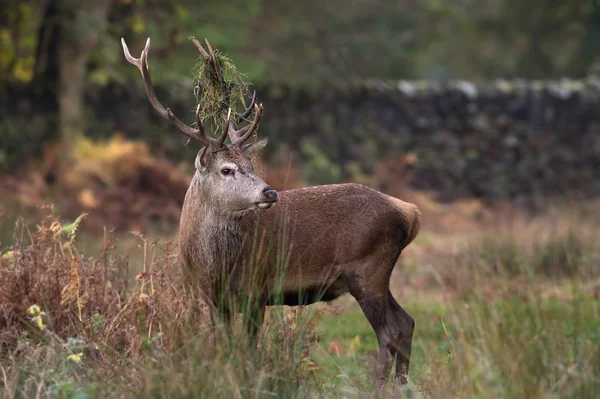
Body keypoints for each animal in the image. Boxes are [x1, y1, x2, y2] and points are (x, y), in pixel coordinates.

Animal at [120, 36, 422, 396]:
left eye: (251, 166)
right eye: (227, 169)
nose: (270, 192)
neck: (213, 267)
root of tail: (410, 213)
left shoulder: (257, 290)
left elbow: (249, 350)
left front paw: (249, 383)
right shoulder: (211, 300)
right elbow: (223, 346)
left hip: (368, 268)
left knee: (389, 331)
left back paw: (378, 388)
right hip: (374, 273)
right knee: (406, 323)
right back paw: (403, 387)